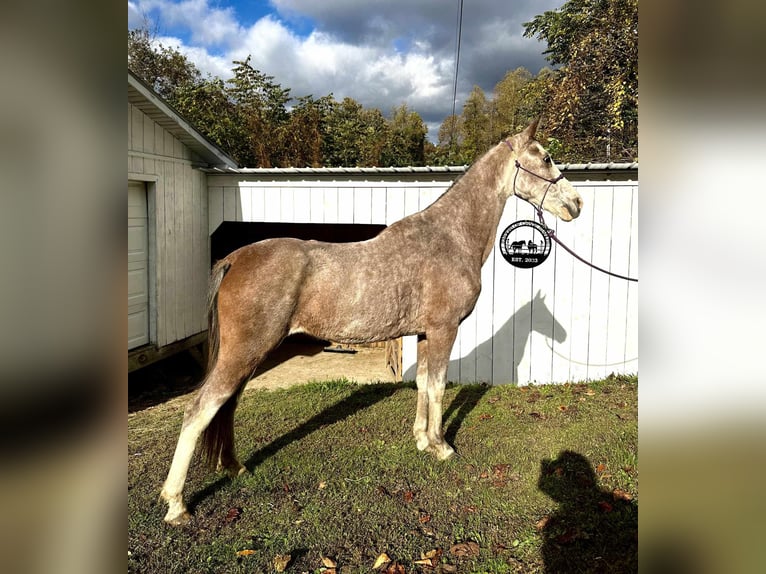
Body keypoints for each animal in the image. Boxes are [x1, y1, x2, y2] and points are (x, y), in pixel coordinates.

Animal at [160, 119, 584, 528]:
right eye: (545, 158)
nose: (576, 203)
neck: (448, 239)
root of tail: (235, 259)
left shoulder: (425, 333)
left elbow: (423, 383)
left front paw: (421, 441)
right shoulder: (444, 330)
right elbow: (439, 386)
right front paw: (441, 446)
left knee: (225, 406)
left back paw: (235, 467)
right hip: (244, 352)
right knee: (199, 410)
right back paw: (177, 504)